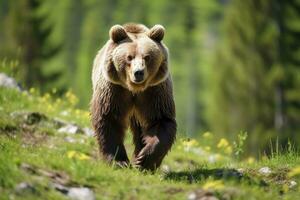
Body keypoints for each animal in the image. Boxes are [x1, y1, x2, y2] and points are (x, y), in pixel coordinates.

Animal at [90, 23, 177, 170]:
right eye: (129, 57)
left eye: (147, 57)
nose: (138, 72)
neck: (134, 89)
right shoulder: (115, 89)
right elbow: (109, 119)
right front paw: (119, 161)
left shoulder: (154, 91)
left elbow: (160, 120)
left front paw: (144, 160)